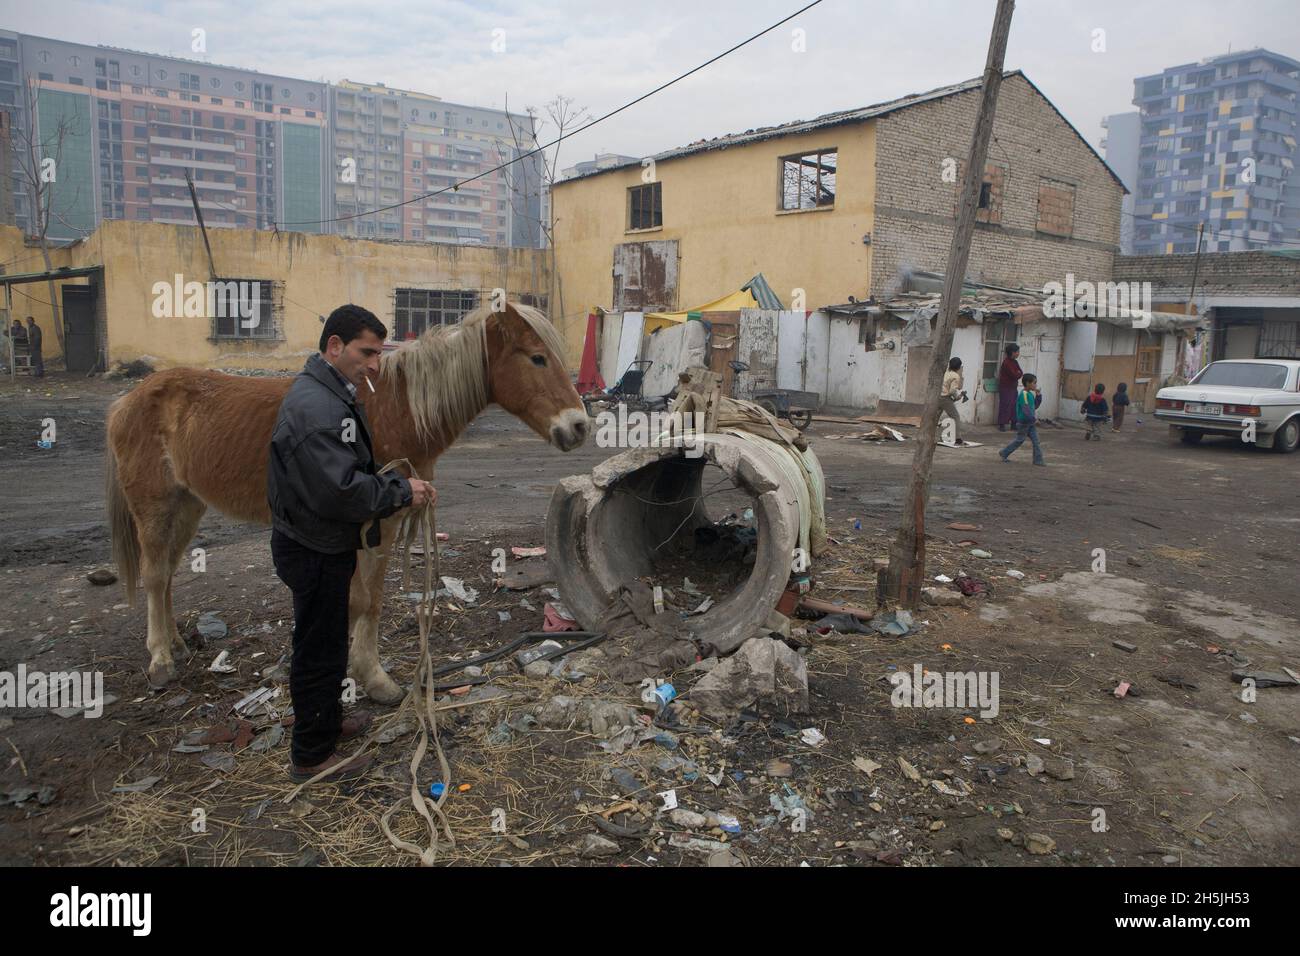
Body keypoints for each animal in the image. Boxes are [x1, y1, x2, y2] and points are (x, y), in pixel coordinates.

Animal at [105, 300, 590, 702]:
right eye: (537, 357)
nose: (580, 426)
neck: (395, 409)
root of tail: (127, 400)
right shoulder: (372, 521)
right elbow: (362, 600)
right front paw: (368, 677)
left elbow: (366, 599)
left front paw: (365, 673)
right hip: (154, 506)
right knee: (154, 576)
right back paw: (160, 659)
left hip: (187, 506)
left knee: (167, 572)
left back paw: (176, 644)